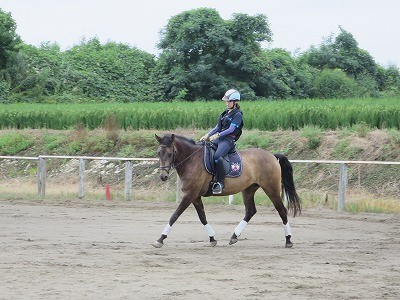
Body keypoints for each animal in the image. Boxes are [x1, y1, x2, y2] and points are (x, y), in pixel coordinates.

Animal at [153, 134, 300, 248]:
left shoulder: (190, 195)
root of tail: (272, 156)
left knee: (282, 211)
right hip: (248, 190)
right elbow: (202, 217)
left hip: (271, 189)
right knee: (250, 211)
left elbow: (174, 216)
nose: (163, 176)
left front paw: (160, 239)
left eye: (170, 154)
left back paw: (288, 240)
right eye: (158, 153)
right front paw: (212, 239)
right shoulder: (195, 196)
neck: (191, 160)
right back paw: (234, 236)